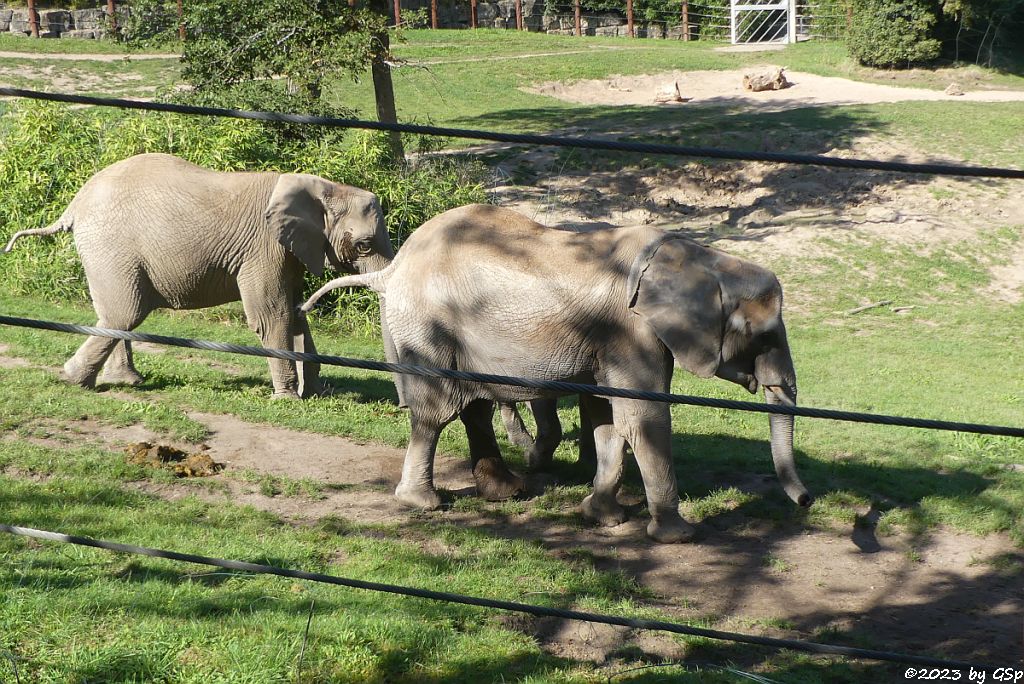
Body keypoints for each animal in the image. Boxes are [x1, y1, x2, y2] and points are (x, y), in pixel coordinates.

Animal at [2, 152, 393, 397]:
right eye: (364, 245)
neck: (324, 188)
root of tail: (74, 203)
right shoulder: (263, 248)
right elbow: (272, 315)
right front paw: (287, 398)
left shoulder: (288, 250)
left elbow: (293, 314)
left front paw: (316, 392)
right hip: (110, 246)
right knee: (125, 312)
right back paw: (75, 380)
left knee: (114, 313)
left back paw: (126, 381)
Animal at [299, 204, 811, 544]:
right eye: (764, 335)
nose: (806, 502)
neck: (701, 258)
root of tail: (392, 269)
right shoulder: (630, 330)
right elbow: (643, 418)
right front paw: (676, 536)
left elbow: (609, 417)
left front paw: (603, 518)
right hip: (426, 327)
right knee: (437, 411)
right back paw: (422, 503)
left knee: (475, 408)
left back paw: (506, 493)